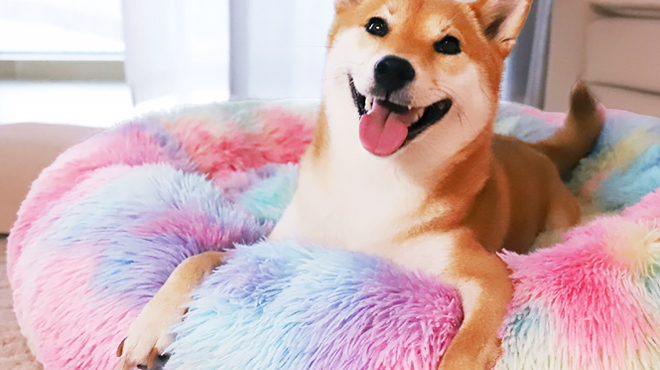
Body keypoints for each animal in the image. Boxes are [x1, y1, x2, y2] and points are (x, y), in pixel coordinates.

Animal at [117, 0, 604, 368]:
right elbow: (198, 259)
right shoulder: (275, 248)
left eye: (448, 44)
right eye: (377, 26)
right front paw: (148, 325)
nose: (393, 68)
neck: (374, 181)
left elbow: (468, 346)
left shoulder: (486, 275)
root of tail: (538, 150)